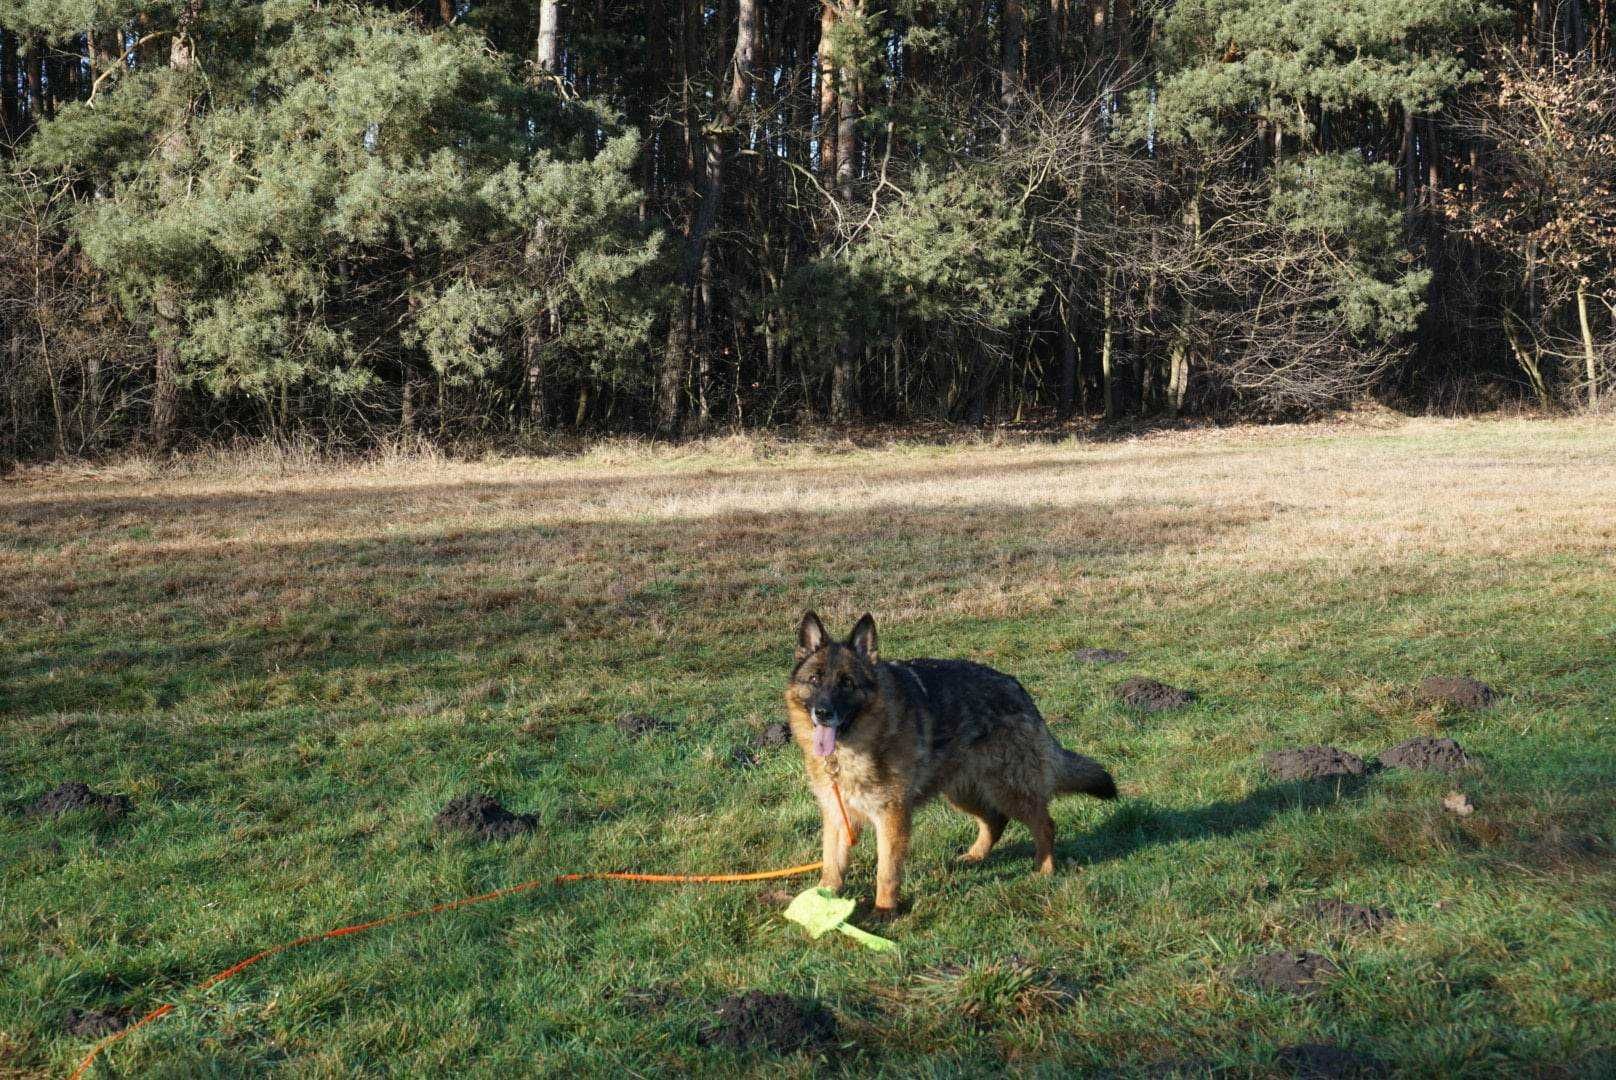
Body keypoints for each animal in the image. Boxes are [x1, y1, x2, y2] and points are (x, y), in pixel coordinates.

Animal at [785, 611, 1118, 918]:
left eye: (847, 683)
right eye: (814, 679)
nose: (822, 712)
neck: (852, 750)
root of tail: (1019, 690)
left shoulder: (892, 818)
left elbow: (887, 871)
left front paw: (884, 910)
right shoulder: (837, 817)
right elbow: (832, 864)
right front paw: (822, 900)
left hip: (1008, 790)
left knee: (1044, 824)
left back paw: (1045, 869)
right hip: (962, 793)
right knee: (995, 821)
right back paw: (975, 856)